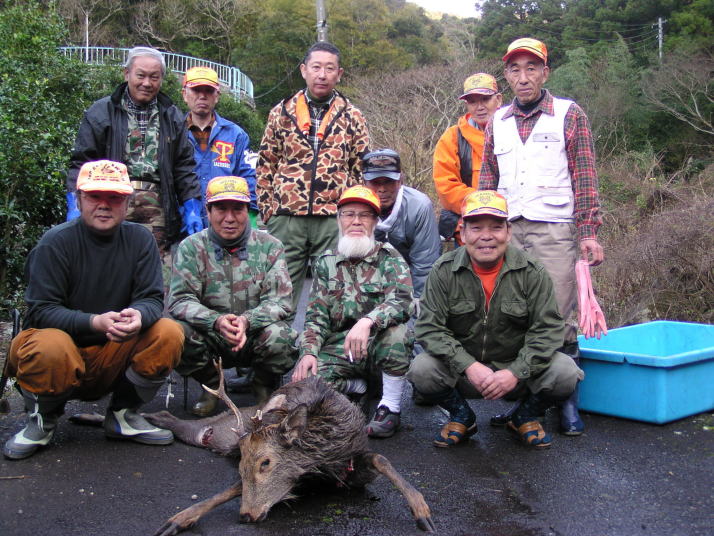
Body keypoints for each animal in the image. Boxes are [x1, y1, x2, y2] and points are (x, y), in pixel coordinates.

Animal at [145, 365, 435, 535]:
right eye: (241, 466)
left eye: (266, 462)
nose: (246, 515)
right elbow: (231, 490)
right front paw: (179, 518)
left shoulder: (353, 470)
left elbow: (381, 458)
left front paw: (422, 511)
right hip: (226, 435)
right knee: (201, 429)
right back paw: (156, 417)